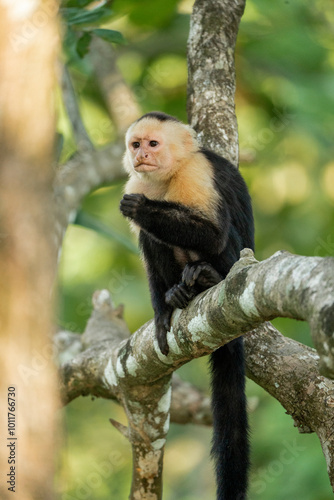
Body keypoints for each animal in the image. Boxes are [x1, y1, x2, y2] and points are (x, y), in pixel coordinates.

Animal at [119, 112, 253, 500]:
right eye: (136, 144)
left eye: (153, 144)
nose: (141, 156)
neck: (168, 176)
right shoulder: (139, 180)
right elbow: (149, 255)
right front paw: (161, 312)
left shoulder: (196, 171)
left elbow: (214, 234)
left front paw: (143, 209)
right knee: (154, 240)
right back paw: (179, 295)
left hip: (236, 263)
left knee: (220, 238)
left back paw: (207, 277)